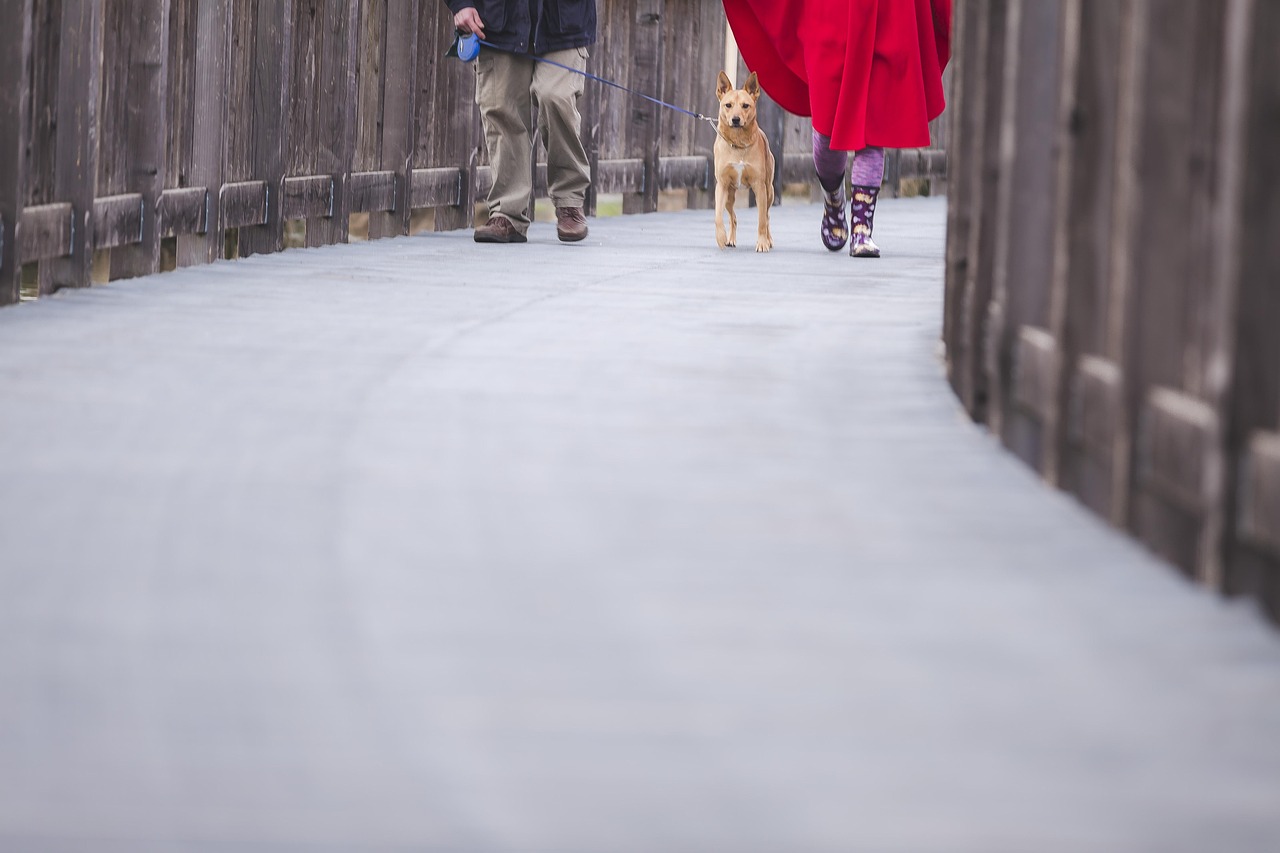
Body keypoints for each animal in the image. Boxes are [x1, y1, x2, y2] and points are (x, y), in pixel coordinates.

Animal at [716, 70, 773, 251]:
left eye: (745, 106)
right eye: (728, 105)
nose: (735, 119)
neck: (738, 143)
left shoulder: (759, 187)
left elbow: (761, 220)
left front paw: (762, 243)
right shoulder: (722, 185)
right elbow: (717, 216)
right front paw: (721, 237)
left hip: (769, 192)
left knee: (767, 216)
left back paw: (769, 239)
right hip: (729, 196)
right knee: (732, 217)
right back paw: (730, 239)